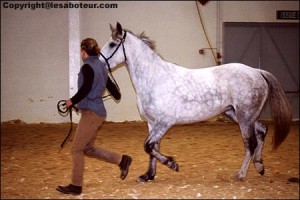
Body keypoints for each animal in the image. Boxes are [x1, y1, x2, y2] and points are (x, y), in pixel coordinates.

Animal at [99, 22, 292, 183]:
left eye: (112, 44)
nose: (99, 63)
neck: (154, 78)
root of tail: (257, 71)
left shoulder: (164, 122)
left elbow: (148, 146)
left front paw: (172, 164)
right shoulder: (152, 123)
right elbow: (152, 148)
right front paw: (148, 176)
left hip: (244, 117)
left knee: (250, 144)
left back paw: (241, 174)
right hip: (238, 114)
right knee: (262, 130)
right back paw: (259, 166)